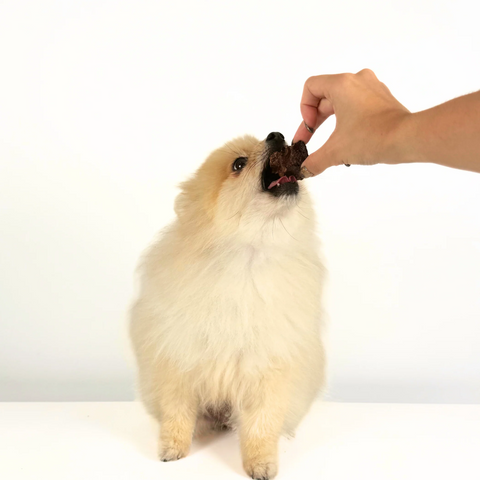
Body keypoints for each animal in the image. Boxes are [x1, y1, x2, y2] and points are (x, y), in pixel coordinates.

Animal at [129, 131, 326, 480]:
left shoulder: (269, 366)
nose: (277, 135)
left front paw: (261, 464)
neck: (247, 256)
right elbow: (176, 411)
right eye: (238, 164)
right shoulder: (179, 358)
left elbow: (262, 424)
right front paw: (172, 449)